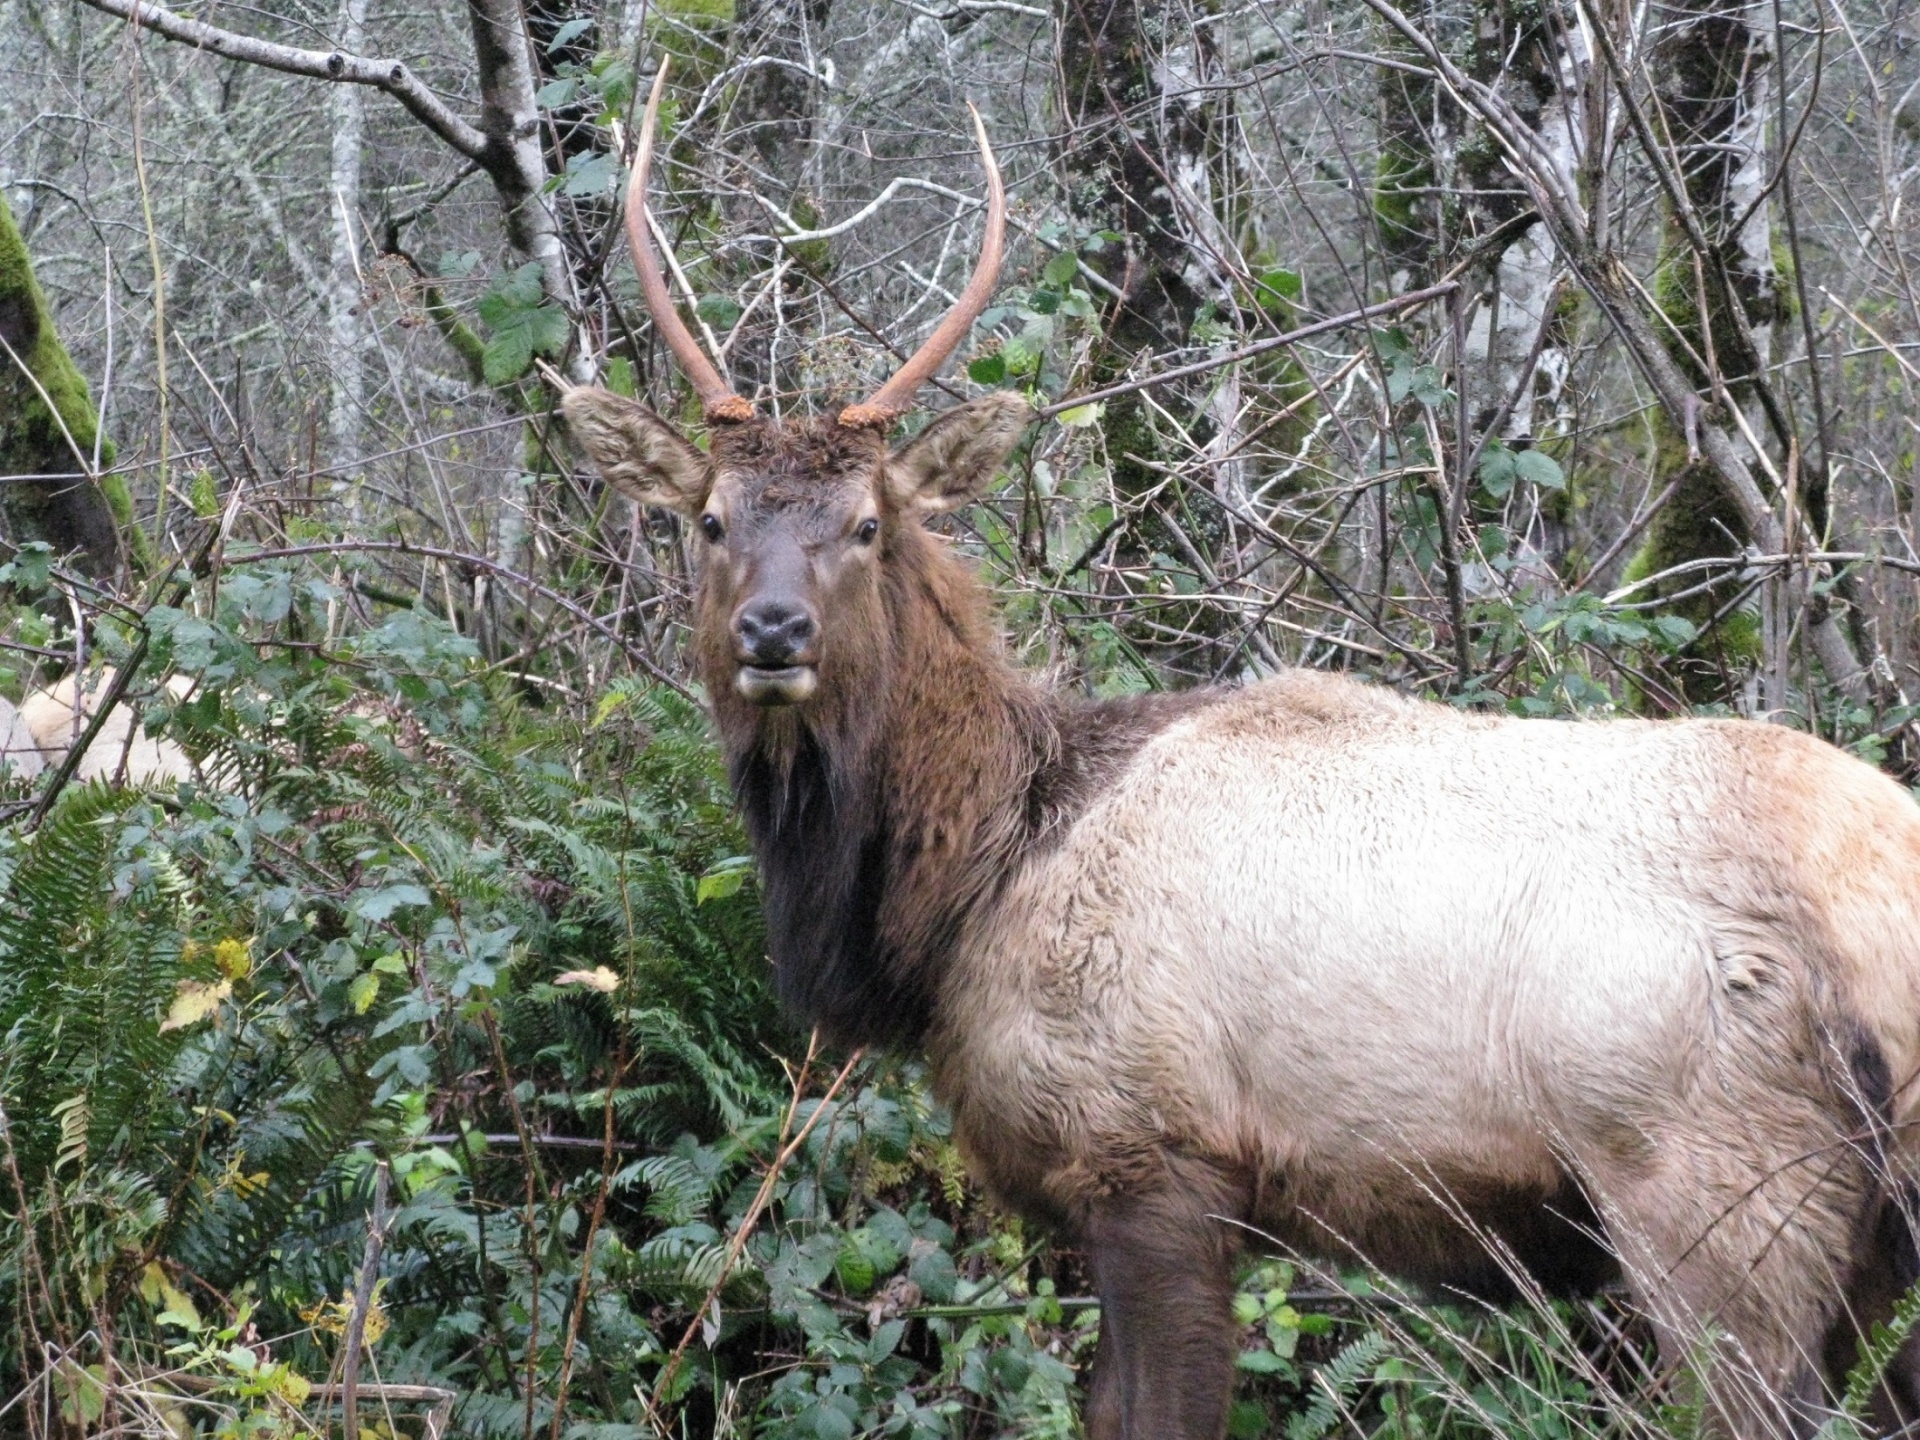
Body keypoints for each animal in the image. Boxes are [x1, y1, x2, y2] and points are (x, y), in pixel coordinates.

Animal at [560, 73, 1920, 1440]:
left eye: (867, 524)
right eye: (710, 520)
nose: (772, 632)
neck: (969, 887)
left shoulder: (1150, 1155)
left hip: (1718, 1195)